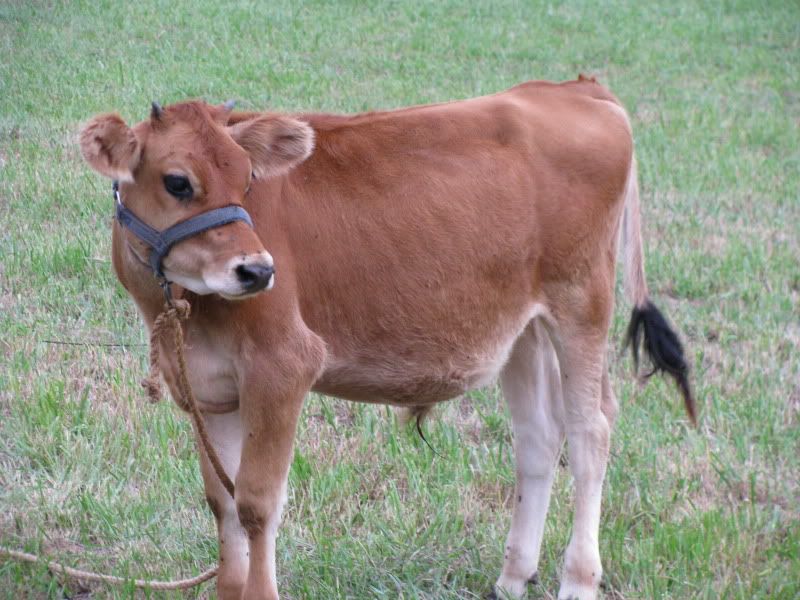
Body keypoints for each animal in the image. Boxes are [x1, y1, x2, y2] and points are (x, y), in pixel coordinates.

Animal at [79, 76, 694, 600]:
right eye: (178, 181)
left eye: (247, 178)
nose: (256, 270)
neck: (187, 316)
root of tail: (576, 88)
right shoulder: (209, 388)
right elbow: (221, 501)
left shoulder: (284, 366)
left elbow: (255, 502)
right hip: (522, 327)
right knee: (539, 436)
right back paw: (513, 576)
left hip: (581, 304)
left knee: (591, 432)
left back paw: (578, 579)